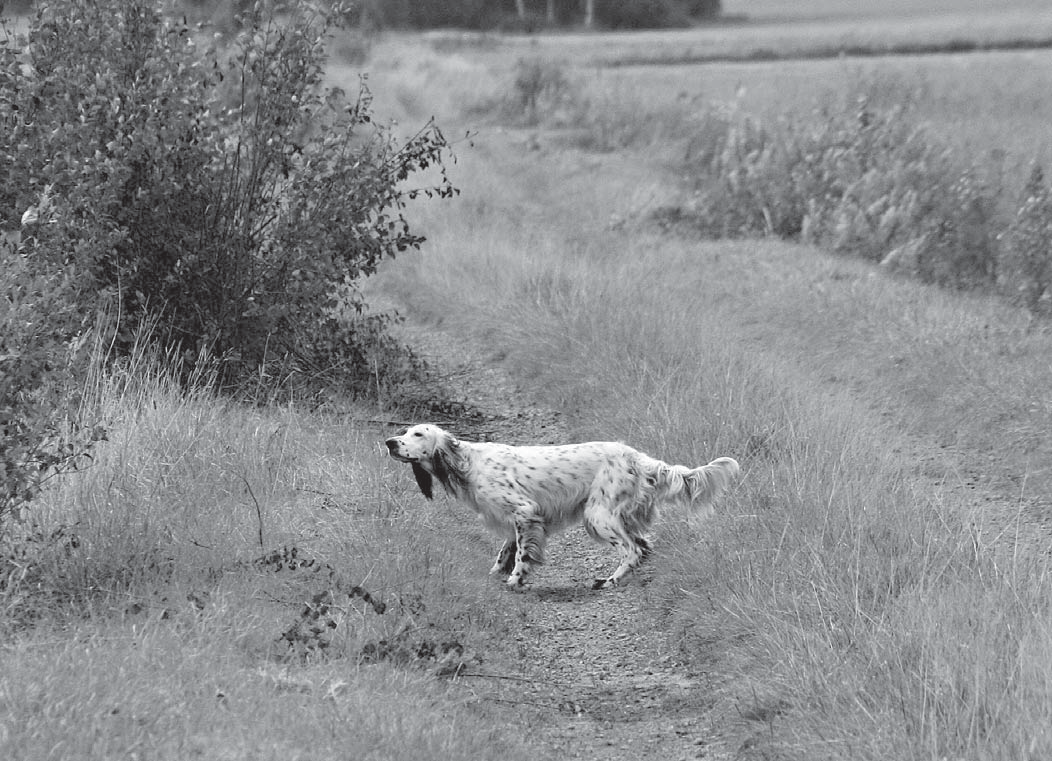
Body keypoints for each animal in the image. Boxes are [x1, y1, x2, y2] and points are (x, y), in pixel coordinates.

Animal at [387, 425, 740, 593]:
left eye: (417, 433)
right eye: (404, 432)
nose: (390, 442)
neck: (467, 462)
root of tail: (640, 458)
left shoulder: (524, 510)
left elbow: (521, 553)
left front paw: (515, 580)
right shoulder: (516, 518)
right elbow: (505, 550)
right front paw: (494, 576)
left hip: (597, 516)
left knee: (633, 550)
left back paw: (609, 582)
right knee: (644, 546)